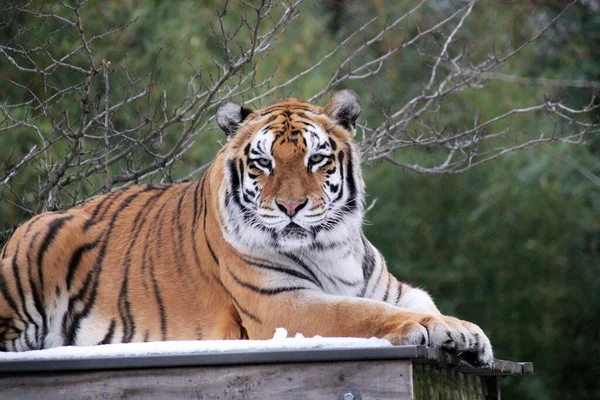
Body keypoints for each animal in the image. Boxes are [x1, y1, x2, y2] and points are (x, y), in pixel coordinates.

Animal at [0, 90, 492, 366]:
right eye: (263, 162)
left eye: (316, 158)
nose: (291, 206)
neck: (332, 247)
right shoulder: (280, 304)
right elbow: (360, 313)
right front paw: (431, 329)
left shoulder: (390, 288)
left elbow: (421, 303)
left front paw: (467, 333)